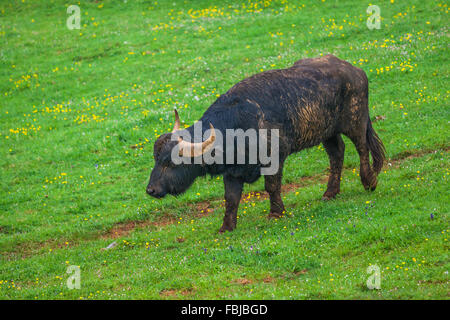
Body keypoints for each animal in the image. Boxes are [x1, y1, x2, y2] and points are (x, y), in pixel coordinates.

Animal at [146, 54, 384, 232]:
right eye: (156, 160)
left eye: (171, 162)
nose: (151, 190)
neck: (238, 124)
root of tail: (355, 70)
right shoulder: (233, 171)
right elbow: (231, 198)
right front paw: (226, 227)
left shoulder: (275, 157)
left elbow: (271, 186)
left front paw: (276, 212)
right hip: (327, 132)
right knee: (337, 154)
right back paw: (330, 193)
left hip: (356, 120)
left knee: (362, 148)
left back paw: (369, 181)